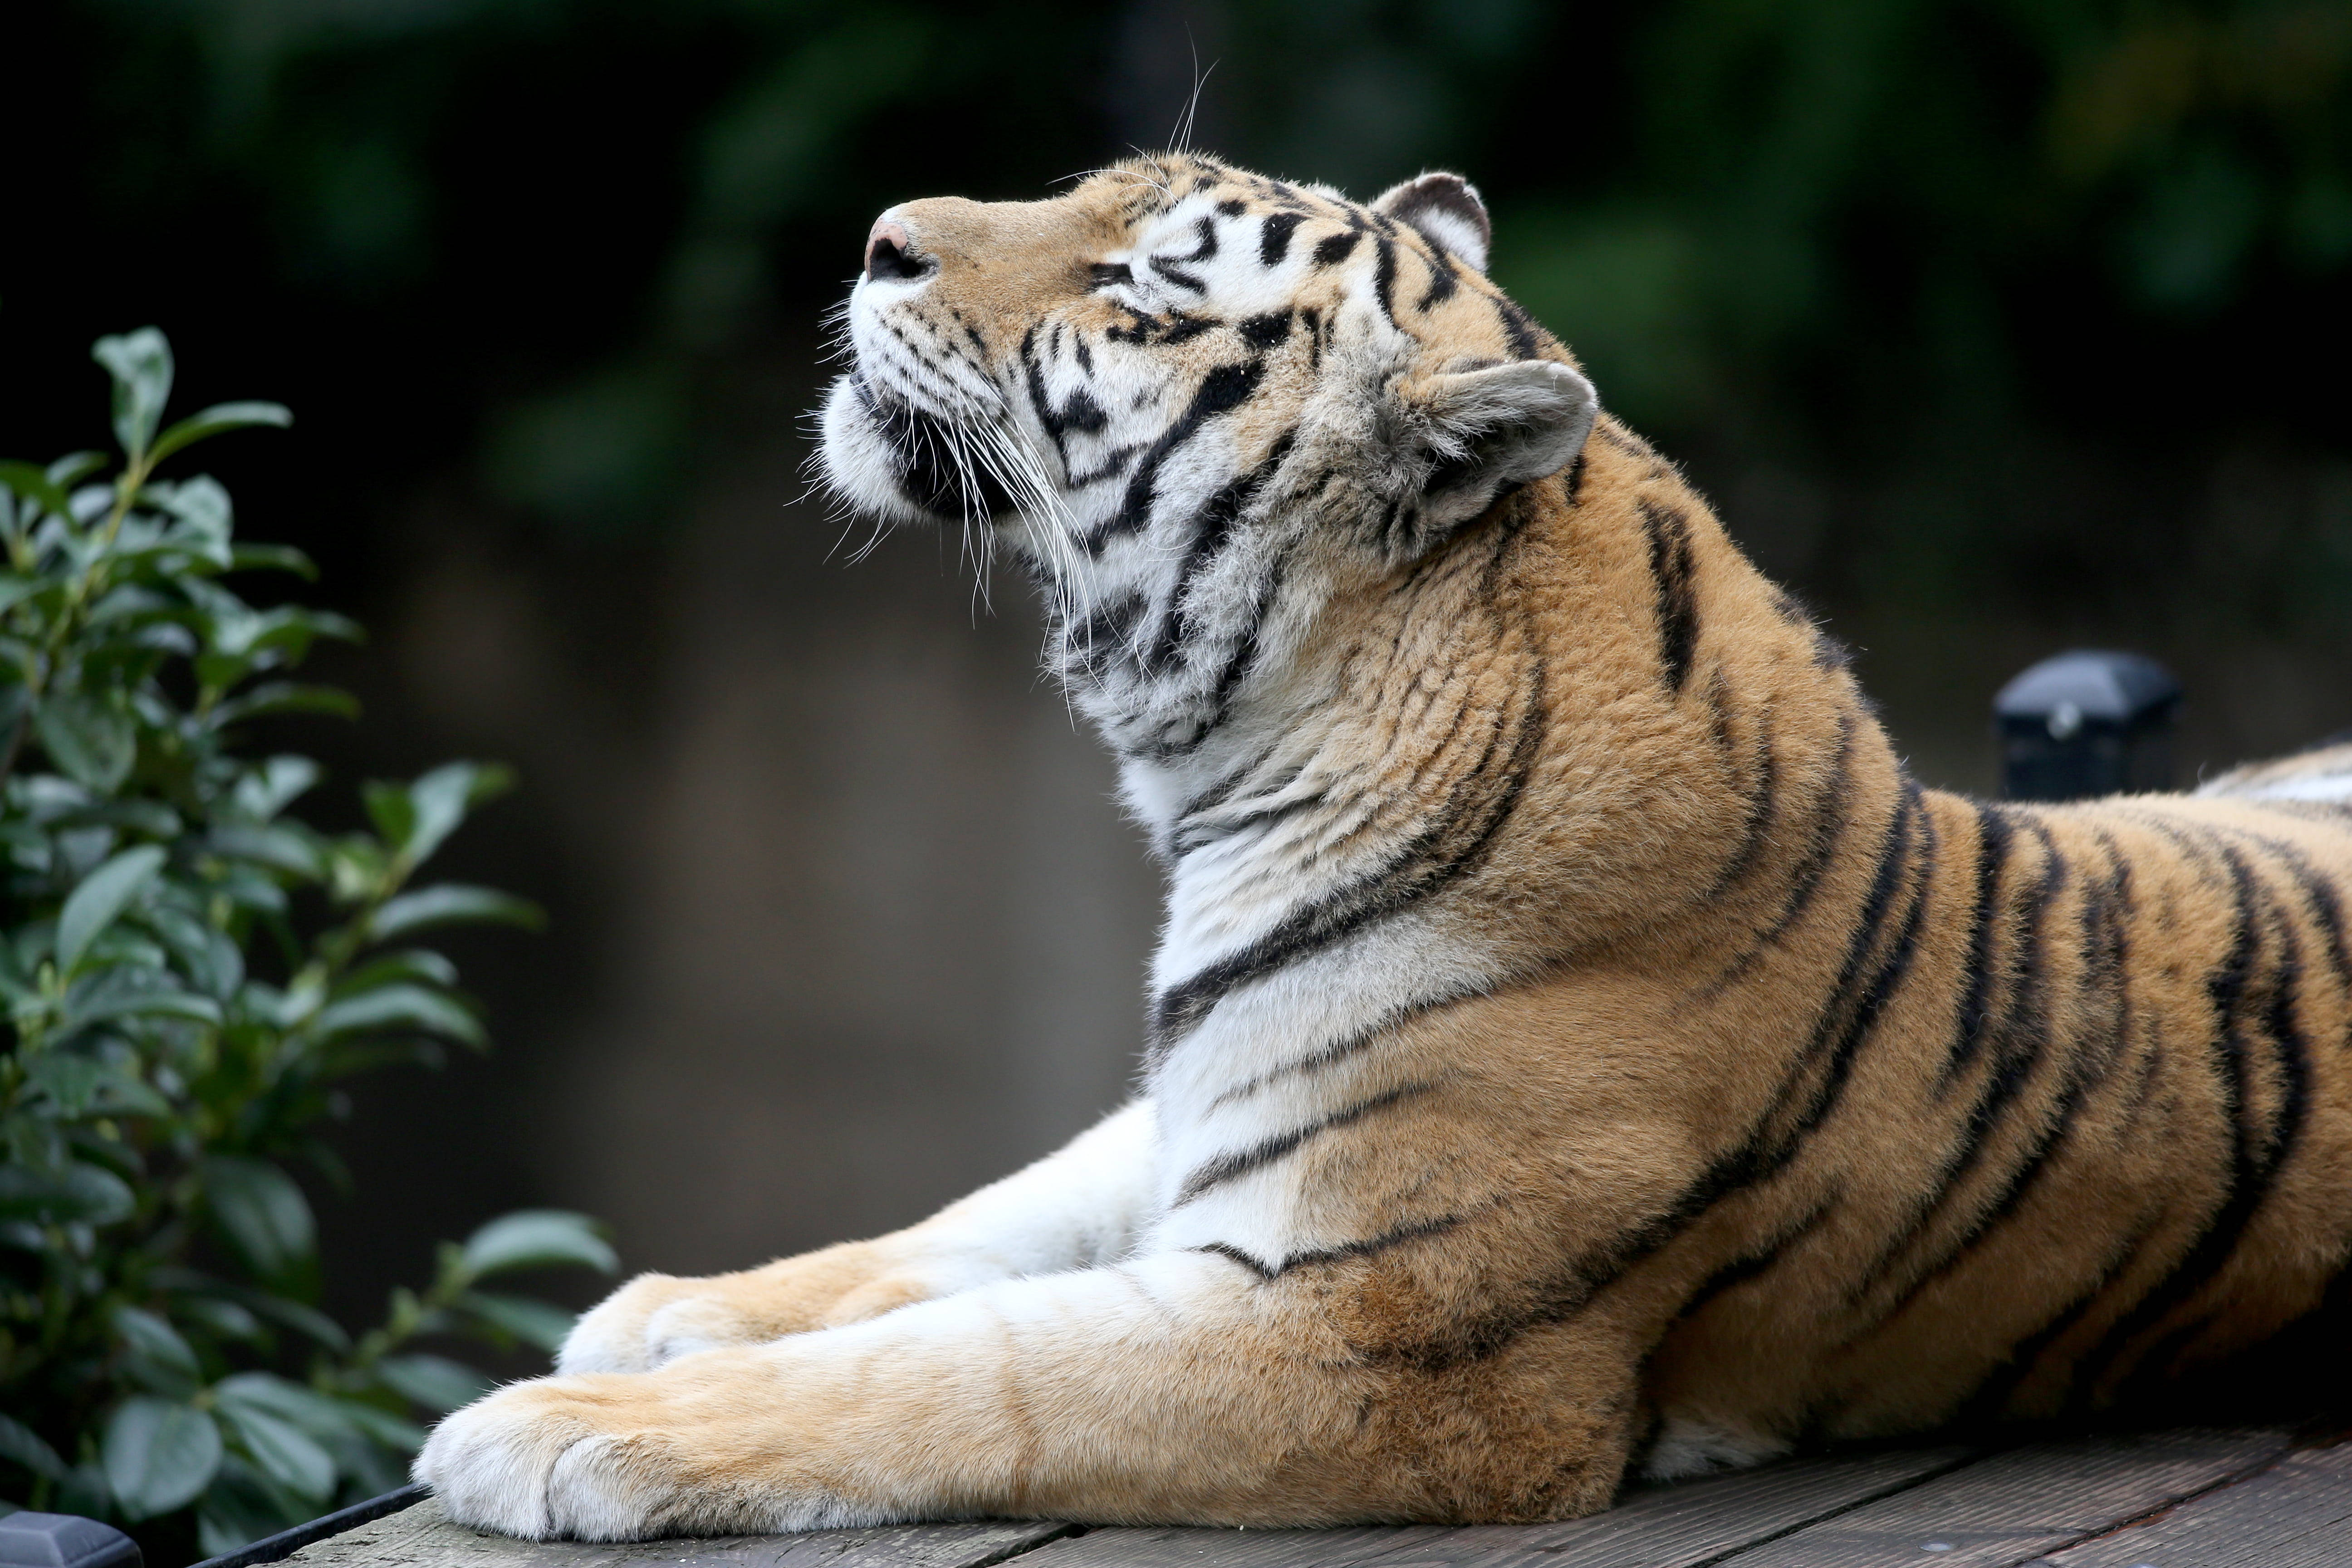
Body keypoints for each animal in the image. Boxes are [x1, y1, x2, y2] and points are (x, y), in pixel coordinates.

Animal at [415, 153, 2352, 1540]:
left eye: (1139, 283)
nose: (880, 238)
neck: (1243, 768)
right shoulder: (1208, 1112)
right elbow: (979, 1224)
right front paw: (673, 1304)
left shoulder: (1380, 1341)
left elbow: (976, 1370)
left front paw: (556, 1427)